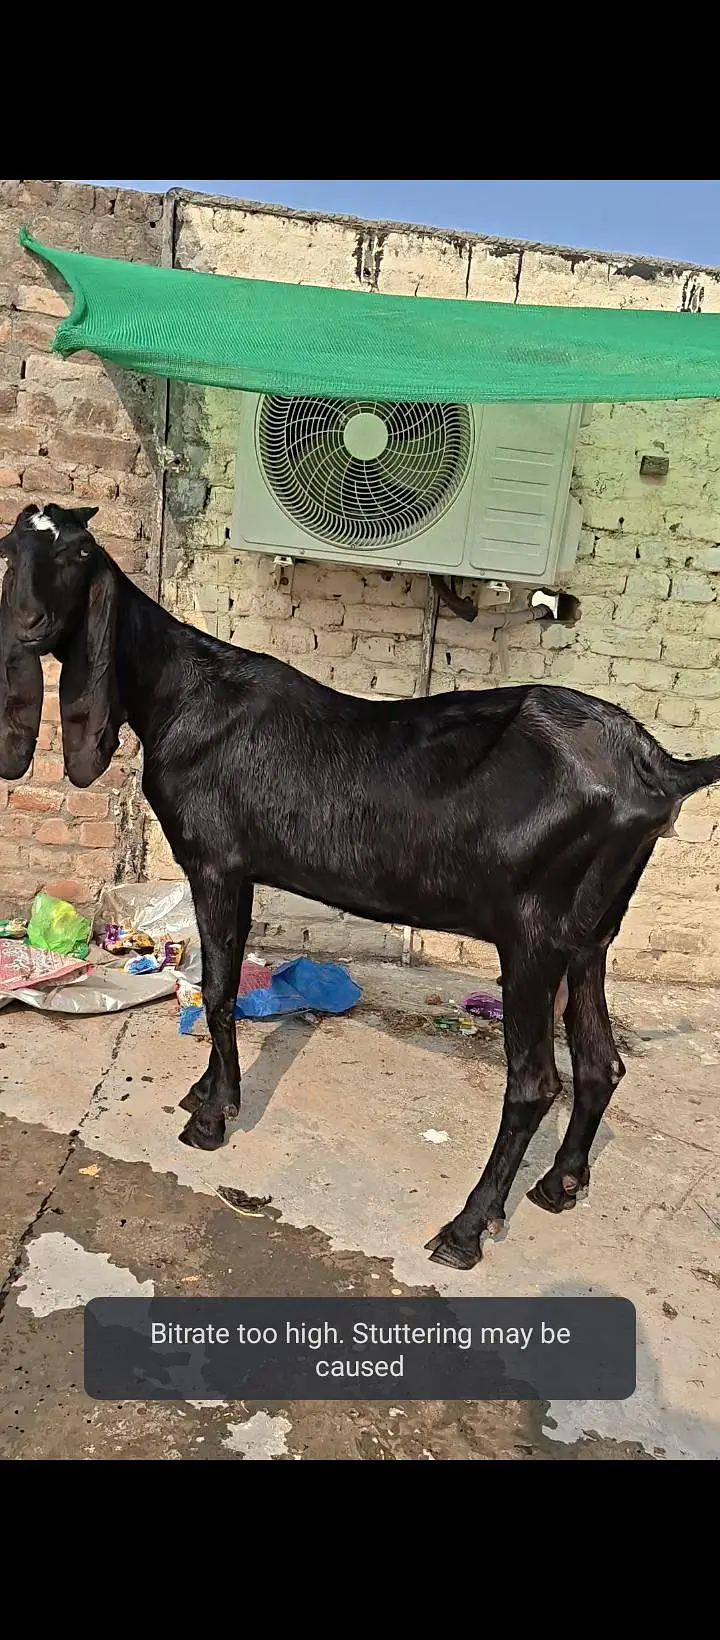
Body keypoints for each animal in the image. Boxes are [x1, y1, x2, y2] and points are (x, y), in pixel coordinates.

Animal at [2, 501, 719, 1271]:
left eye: (78, 554)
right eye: (12, 548)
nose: (28, 623)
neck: (183, 693)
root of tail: (660, 768)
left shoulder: (216, 862)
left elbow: (219, 987)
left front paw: (212, 1118)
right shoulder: (243, 870)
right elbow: (225, 982)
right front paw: (204, 1094)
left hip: (533, 938)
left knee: (534, 1082)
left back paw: (466, 1229)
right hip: (589, 935)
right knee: (600, 1062)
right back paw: (558, 1185)